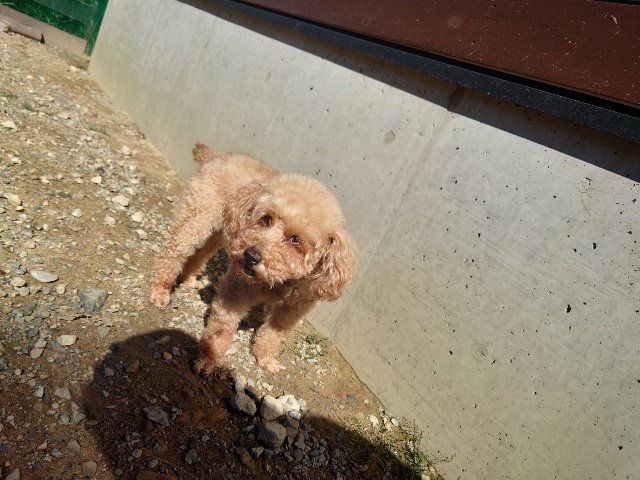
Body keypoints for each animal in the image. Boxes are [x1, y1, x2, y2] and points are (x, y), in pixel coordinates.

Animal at [150, 144, 356, 375]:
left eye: (295, 240)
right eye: (266, 219)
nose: (250, 255)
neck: (280, 282)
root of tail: (218, 155)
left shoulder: (294, 307)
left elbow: (273, 333)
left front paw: (265, 357)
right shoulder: (235, 291)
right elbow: (221, 330)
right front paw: (207, 357)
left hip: (221, 230)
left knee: (202, 251)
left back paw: (190, 278)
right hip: (198, 217)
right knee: (174, 252)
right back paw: (160, 290)